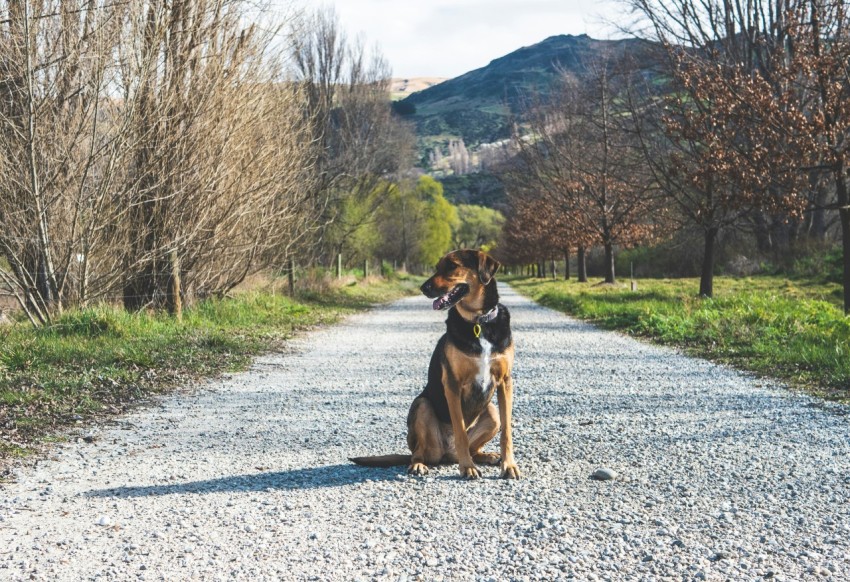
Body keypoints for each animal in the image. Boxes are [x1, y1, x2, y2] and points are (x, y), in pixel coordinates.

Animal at [350, 249, 516, 482]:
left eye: (452, 266)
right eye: (437, 267)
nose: (423, 288)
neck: (478, 322)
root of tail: (447, 454)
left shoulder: (505, 382)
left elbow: (507, 433)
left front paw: (509, 465)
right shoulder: (453, 384)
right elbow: (460, 432)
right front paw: (467, 468)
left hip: (491, 412)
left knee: (473, 446)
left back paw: (487, 456)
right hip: (422, 406)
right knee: (419, 453)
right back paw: (421, 465)